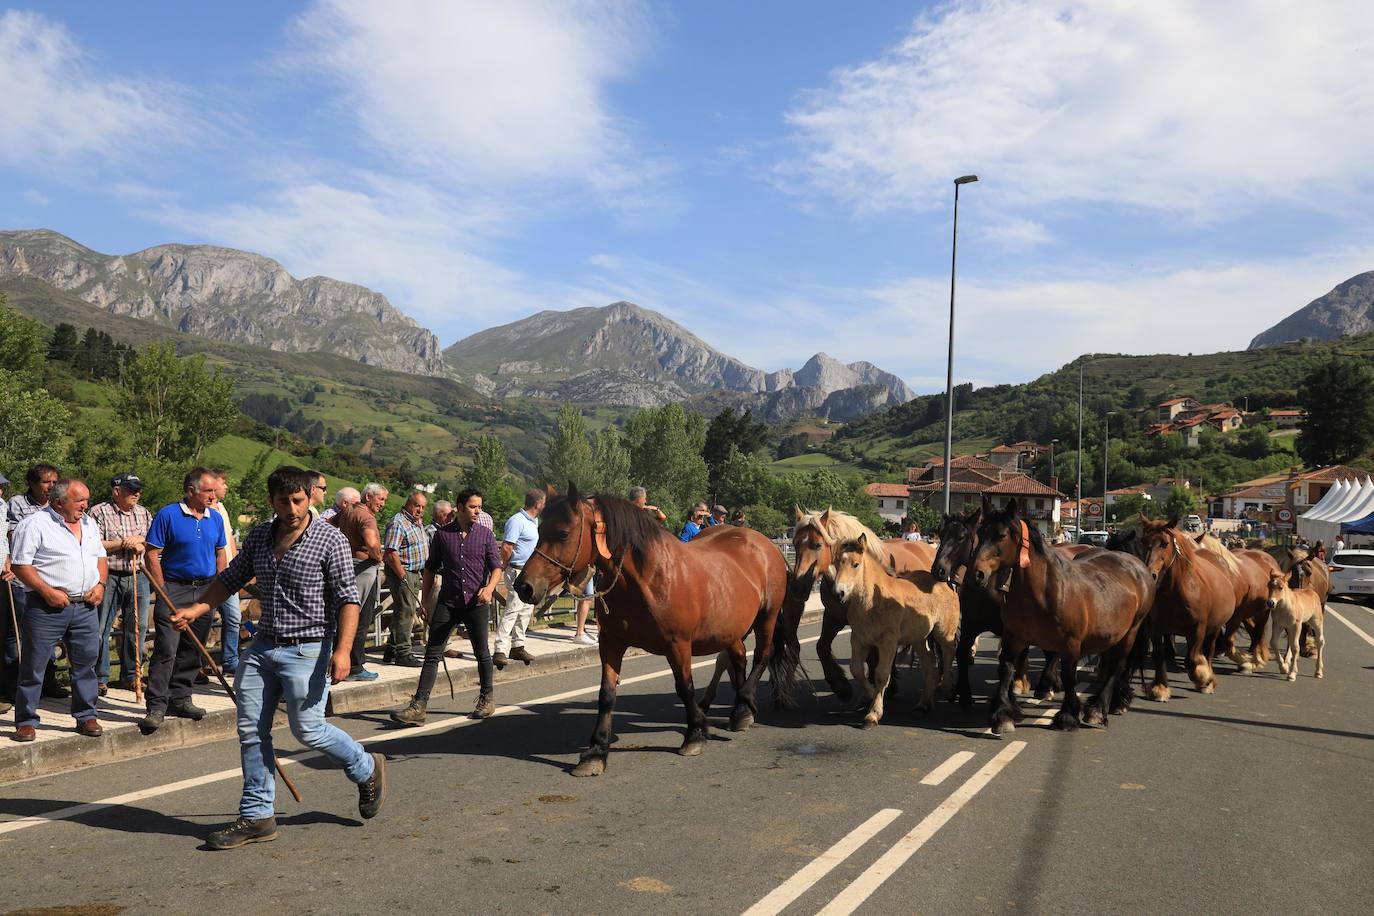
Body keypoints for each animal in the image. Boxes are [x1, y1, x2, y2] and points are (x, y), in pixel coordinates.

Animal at [513, 483, 796, 780]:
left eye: (563, 533)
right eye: (539, 531)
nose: (524, 586)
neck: (649, 577)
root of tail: (766, 544)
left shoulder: (678, 645)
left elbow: (685, 687)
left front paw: (695, 733)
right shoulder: (611, 643)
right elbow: (606, 695)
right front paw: (596, 752)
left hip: (766, 618)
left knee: (762, 656)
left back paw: (743, 705)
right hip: (730, 629)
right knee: (738, 659)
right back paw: (740, 712)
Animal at [791, 508, 939, 703]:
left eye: (817, 545)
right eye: (794, 544)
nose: (797, 587)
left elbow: (874, 658)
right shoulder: (833, 617)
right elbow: (821, 647)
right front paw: (841, 687)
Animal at [824, 532, 956, 725]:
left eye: (855, 564)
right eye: (836, 562)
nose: (838, 593)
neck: (872, 601)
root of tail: (944, 582)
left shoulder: (888, 642)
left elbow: (881, 674)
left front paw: (873, 714)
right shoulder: (859, 640)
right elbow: (856, 670)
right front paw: (868, 695)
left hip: (944, 633)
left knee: (948, 653)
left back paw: (948, 689)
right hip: (919, 638)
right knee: (929, 664)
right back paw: (924, 703)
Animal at [972, 497, 1154, 736]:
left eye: (1001, 535)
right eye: (980, 532)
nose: (978, 573)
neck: (1043, 591)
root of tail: (1137, 565)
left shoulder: (1071, 644)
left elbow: (1069, 677)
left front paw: (1067, 716)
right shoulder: (1014, 638)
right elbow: (1006, 669)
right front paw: (1002, 715)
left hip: (1130, 632)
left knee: (1118, 666)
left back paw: (1099, 709)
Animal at [1132, 519, 1242, 697]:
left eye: (1165, 543)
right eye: (1143, 541)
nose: (1151, 574)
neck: (1178, 591)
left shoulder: (1198, 629)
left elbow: (1193, 658)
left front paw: (1203, 678)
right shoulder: (1157, 628)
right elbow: (1159, 656)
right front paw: (1160, 687)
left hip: (1214, 628)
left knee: (1208, 650)